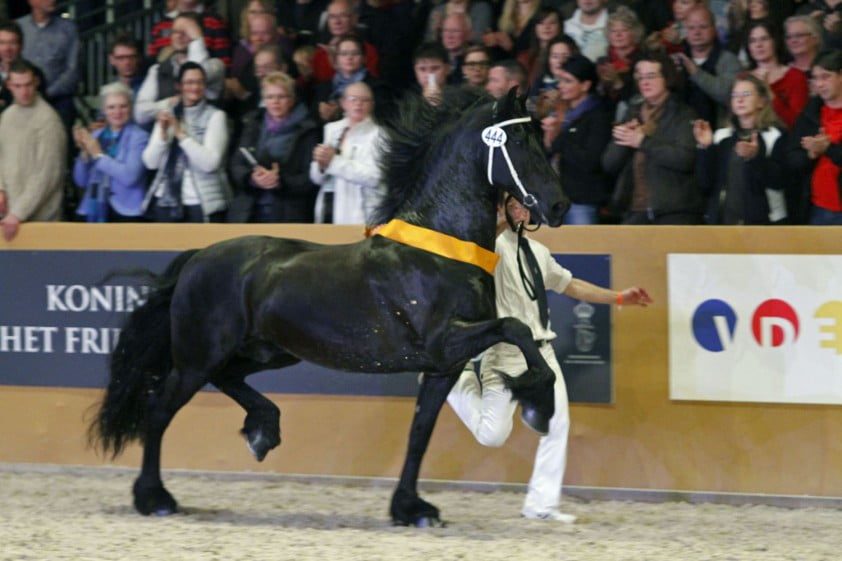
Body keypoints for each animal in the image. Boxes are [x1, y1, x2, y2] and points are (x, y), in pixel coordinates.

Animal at [89, 88, 570, 527]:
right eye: (520, 140)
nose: (560, 204)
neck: (442, 252)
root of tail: (196, 259)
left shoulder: (443, 367)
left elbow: (420, 433)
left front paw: (411, 508)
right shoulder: (445, 342)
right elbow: (517, 328)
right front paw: (536, 405)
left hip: (266, 351)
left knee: (227, 380)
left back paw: (262, 431)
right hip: (198, 357)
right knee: (158, 410)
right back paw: (155, 498)